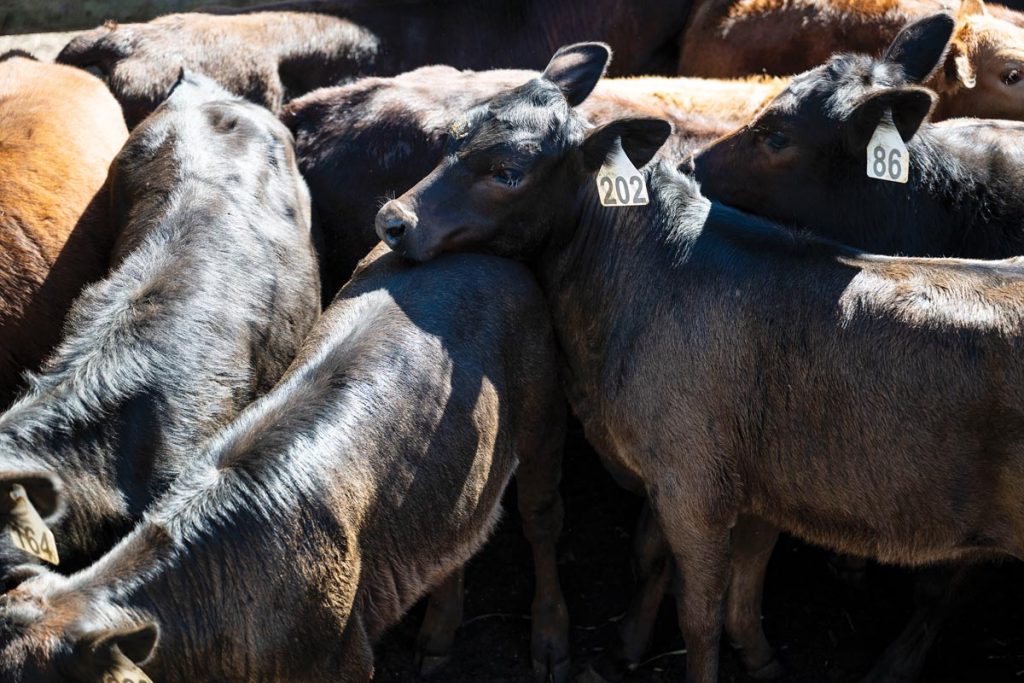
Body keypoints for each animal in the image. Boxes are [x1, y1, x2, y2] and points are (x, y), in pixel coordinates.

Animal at [374, 41, 1024, 683]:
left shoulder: (692, 483)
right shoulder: (762, 477)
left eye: (508, 172)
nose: (393, 220)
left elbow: (699, 612)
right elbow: (712, 568)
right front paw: (717, 651)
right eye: (453, 139)